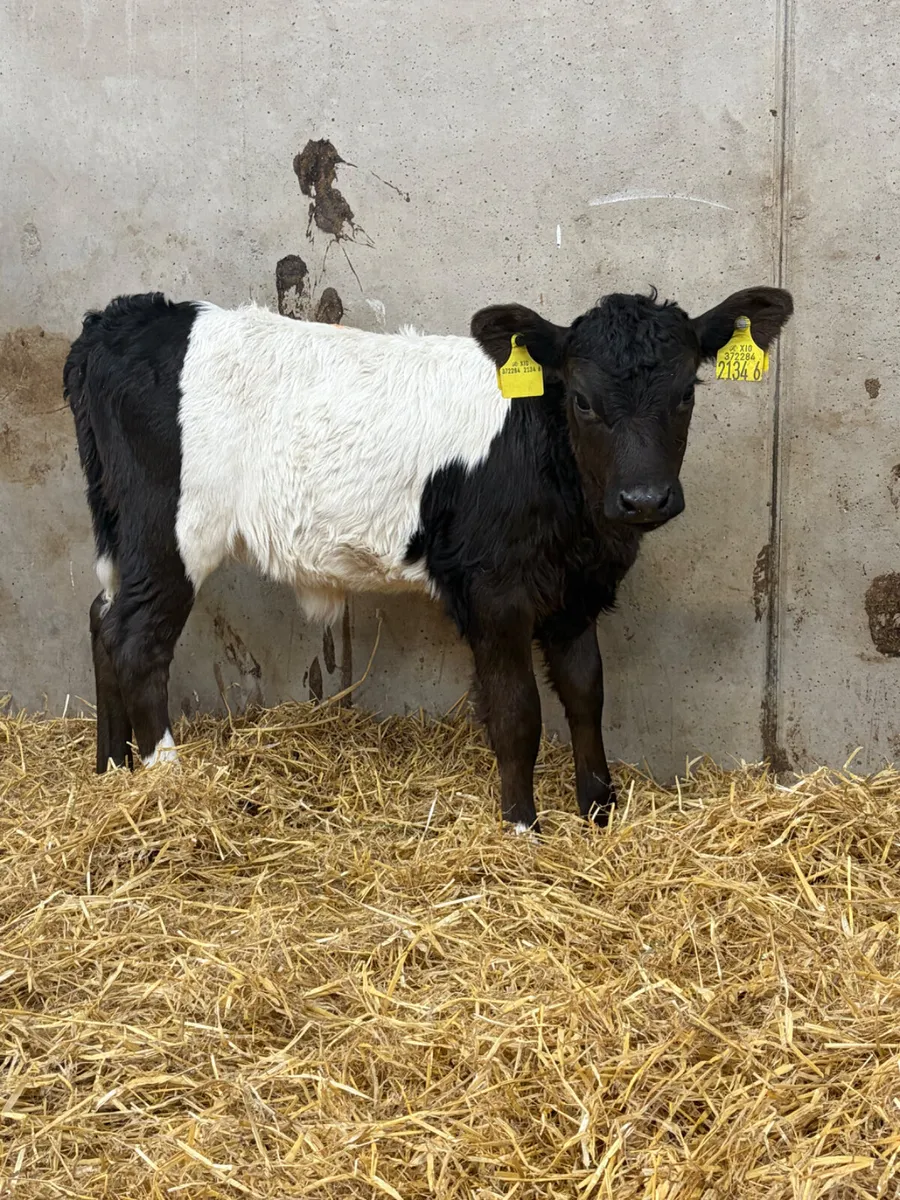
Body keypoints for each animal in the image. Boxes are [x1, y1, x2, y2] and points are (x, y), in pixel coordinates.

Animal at [63, 284, 792, 833]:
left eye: (686, 393)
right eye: (582, 399)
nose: (643, 499)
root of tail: (120, 319)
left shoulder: (574, 595)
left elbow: (586, 693)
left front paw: (598, 810)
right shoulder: (494, 591)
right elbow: (517, 711)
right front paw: (522, 826)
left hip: (121, 531)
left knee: (103, 618)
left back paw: (111, 771)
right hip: (169, 531)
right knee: (138, 640)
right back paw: (165, 781)